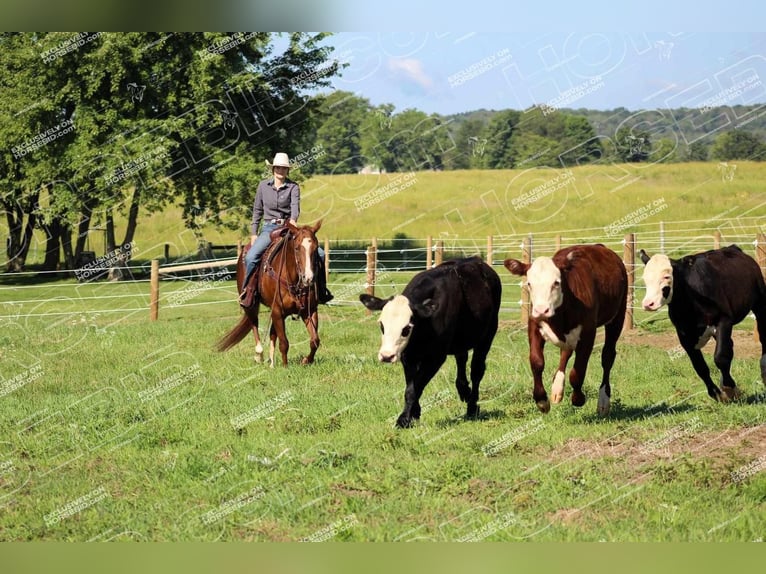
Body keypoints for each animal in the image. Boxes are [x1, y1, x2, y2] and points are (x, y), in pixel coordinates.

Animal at [218, 223, 322, 366]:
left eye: (315, 248)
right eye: (296, 248)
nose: (308, 278)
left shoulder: (309, 310)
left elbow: (315, 340)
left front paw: (306, 360)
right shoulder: (277, 310)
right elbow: (284, 342)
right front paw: (285, 367)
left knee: (273, 332)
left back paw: (272, 362)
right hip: (251, 304)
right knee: (254, 323)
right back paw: (259, 354)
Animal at [362, 258, 504, 430]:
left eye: (406, 328)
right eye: (381, 325)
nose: (386, 356)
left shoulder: (436, 357)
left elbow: (415, 387)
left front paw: (403, 419)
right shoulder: (408, 355)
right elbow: (411, 386)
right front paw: (414, 413)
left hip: (488, 335)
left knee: (477, 370)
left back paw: (472, 407)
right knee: (461, 358)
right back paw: (463, 390)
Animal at [504, 245, 632, 416]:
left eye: (556, 283)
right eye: (529, 283)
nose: (541, 310)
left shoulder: (588, 333)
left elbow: (578, 371)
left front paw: (578, 398)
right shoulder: (534, 326)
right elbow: (537, 361)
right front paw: (541, 400)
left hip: (618, 316)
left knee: (607, 356)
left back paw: (603, 401)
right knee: (566, 352)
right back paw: (557, 389)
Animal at [640, 245, 766, 402]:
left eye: (666, 277)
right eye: (645, 278)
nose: (648, 304)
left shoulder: (724, 320)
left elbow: (721, 357)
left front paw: (729, 389)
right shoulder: (683, 334)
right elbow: (700, 366)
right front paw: (716, 392)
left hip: (760, 303)